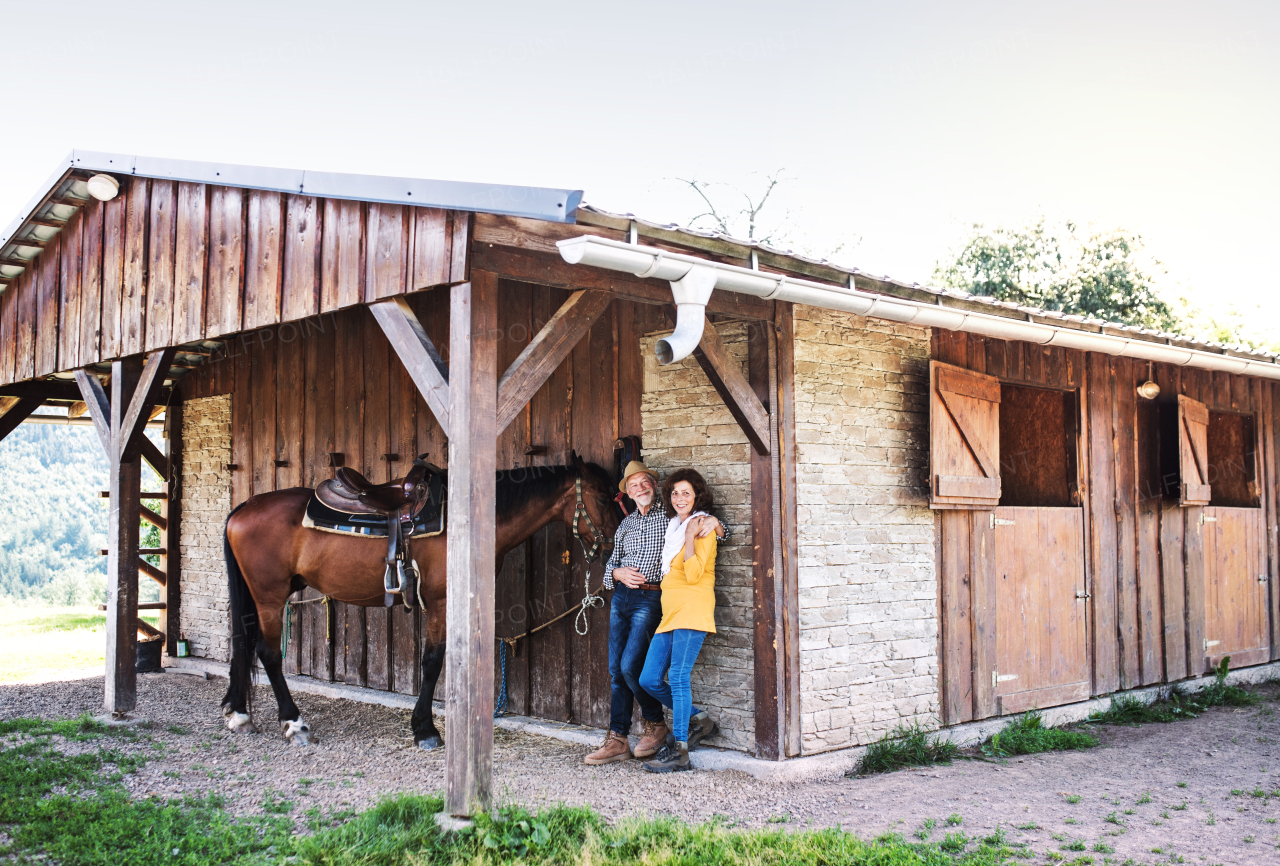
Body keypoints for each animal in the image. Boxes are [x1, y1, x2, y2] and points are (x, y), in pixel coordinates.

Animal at [220, 455, 619, 747]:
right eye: (603, 498)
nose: (614, 549)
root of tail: (244, 507)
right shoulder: (441, 603)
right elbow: (432, 661)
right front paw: (425, 729)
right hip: (269, 597)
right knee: (268, 653)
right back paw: (294, 723)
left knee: (242, 644)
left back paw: (239, 714)